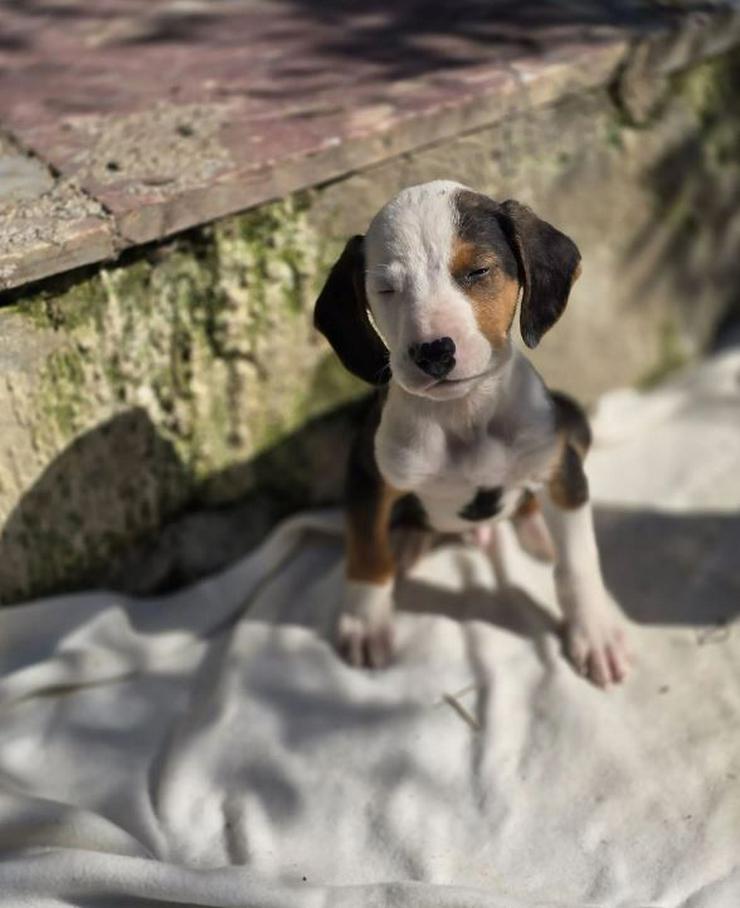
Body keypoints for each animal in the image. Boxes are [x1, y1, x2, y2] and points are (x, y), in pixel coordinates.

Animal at [312, 181, 632, 684]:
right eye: (385, 288)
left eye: (477, 271)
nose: (433, 351)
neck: (463, 415)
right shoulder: (367, 473)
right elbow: (367, 551)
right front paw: (364, 625)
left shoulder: (560, 467)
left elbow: (579, 562)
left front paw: (595, 632)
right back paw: (409, 539)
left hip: (573, 419)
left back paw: (535, 529)